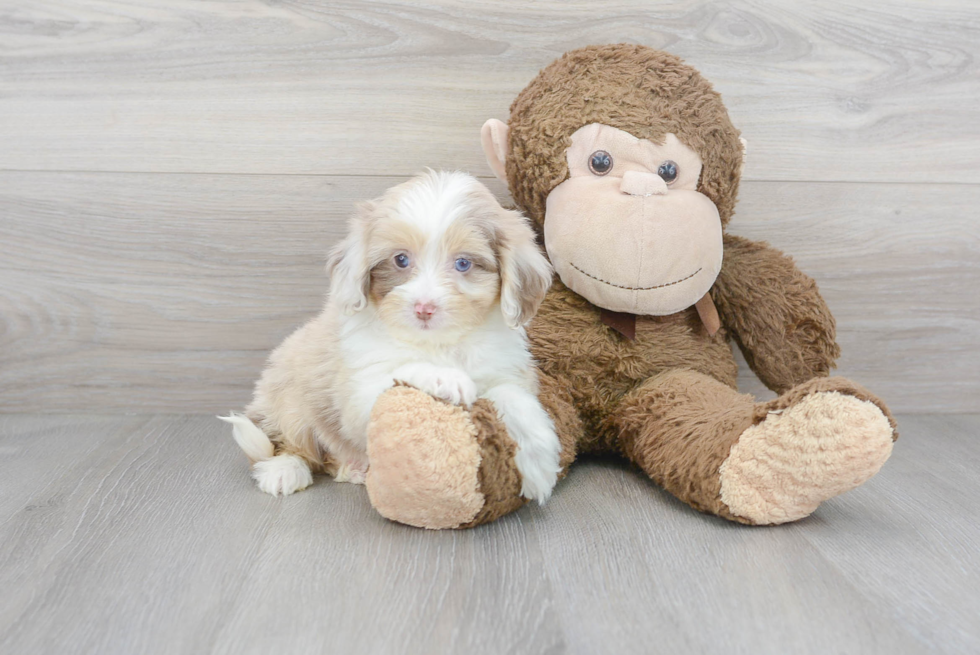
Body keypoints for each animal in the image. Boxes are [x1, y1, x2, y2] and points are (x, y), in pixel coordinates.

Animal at [219, 172, 564, 504]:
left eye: (463, 263)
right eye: (400, 259)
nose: (424, 308)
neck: (439, 343)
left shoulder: (505, 370)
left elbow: (516, 399)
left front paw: (539, 467)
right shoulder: (358, 389)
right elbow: (400, 371)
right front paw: (446, 378)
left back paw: (352, 468)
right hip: (286, 400)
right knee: (285, 443)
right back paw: (284, 470)